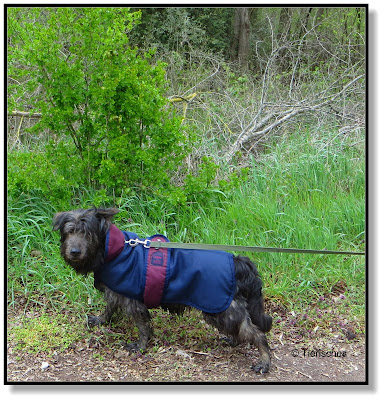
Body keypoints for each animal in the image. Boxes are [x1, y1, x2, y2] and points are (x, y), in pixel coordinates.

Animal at [52, 208, 272, 374]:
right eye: (69, 232)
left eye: (87, 234)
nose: (74, 252)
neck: (115, 250)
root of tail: (238, 261)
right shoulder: (115, 292)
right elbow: (110, 308)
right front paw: (101, 320)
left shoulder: (133, 302)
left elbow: (143, 327)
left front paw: (140, 346)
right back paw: (234, 340)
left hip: (223, 308)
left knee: (255, 333)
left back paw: (264, 360)